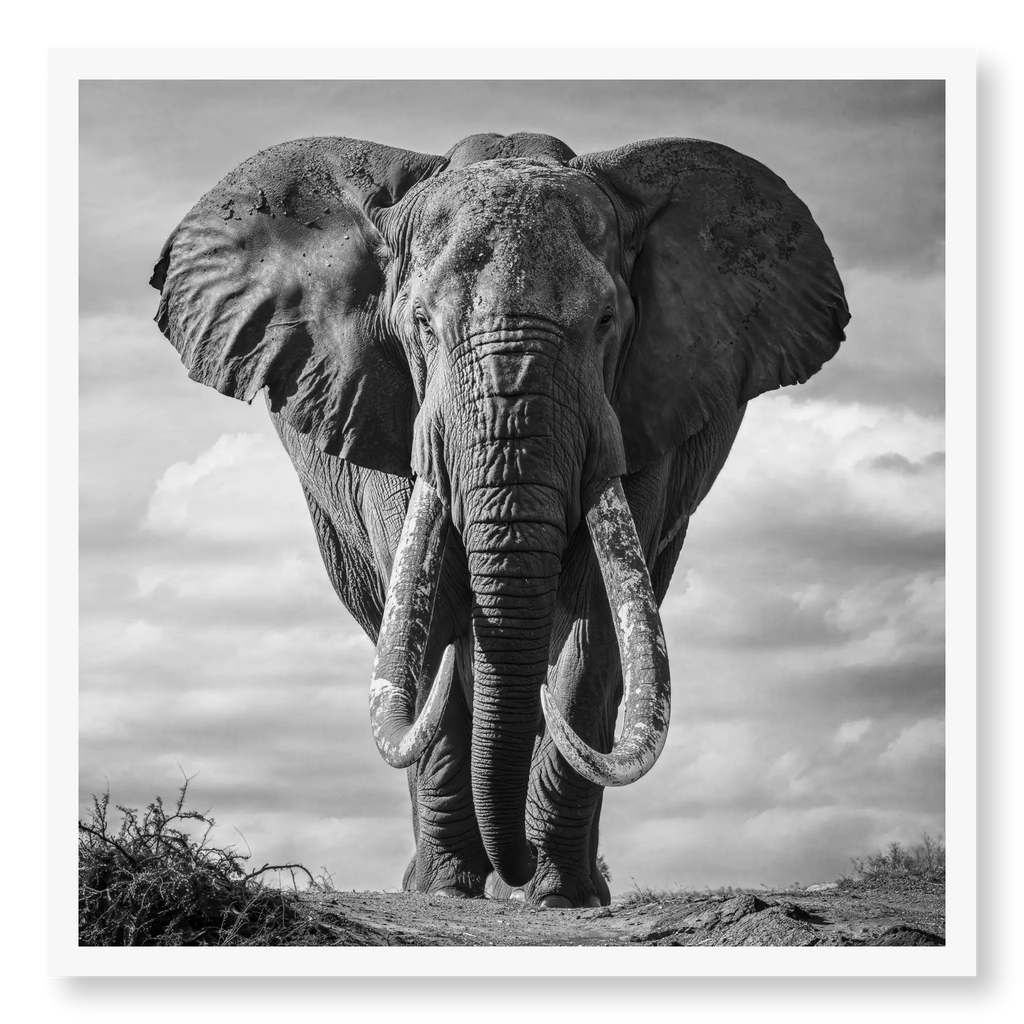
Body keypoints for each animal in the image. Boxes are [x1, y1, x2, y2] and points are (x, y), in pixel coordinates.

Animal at [150, 131, 849, 909]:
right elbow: (427, 622)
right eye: (421, 325)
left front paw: (559, 896)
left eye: (606, 322)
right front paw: (446, 891)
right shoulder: (381, 407)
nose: (510, 867)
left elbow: (595, 626)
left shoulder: (646, 412)